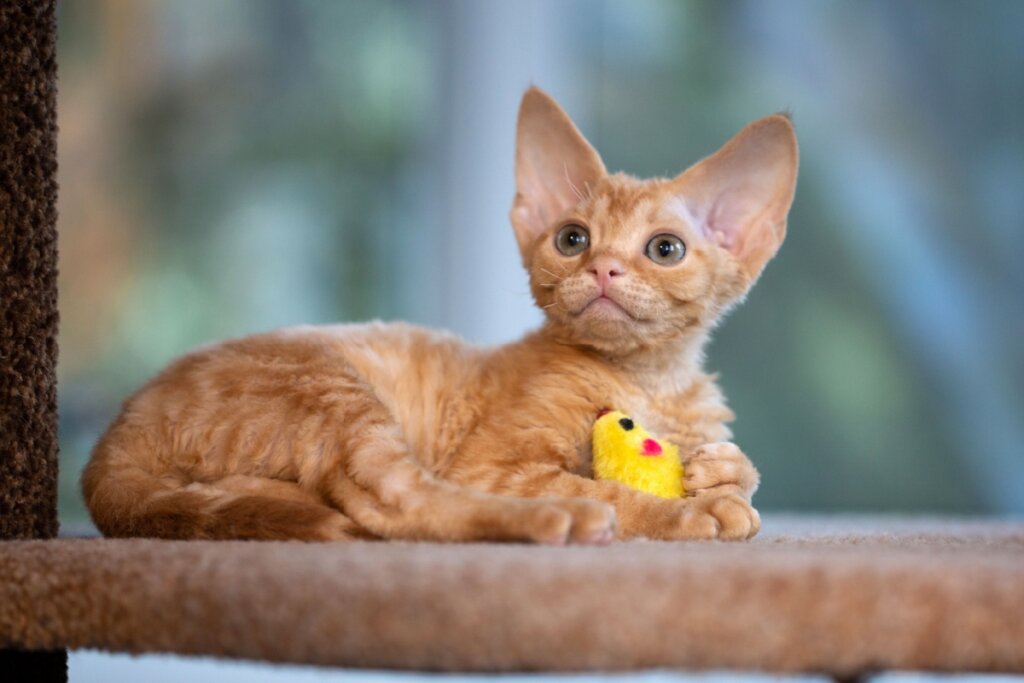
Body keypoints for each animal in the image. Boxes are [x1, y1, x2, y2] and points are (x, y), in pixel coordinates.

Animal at [81, 87, 798, 544]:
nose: (602, 270)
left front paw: (725, 474)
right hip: (334, 391)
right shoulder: (492, 465)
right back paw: (556, 521)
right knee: (395, 503)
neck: (653, 381)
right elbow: (613, 489)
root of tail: (113, 435)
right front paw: (690, 512)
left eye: (664, 249)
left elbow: (736, 469)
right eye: (573, 239)